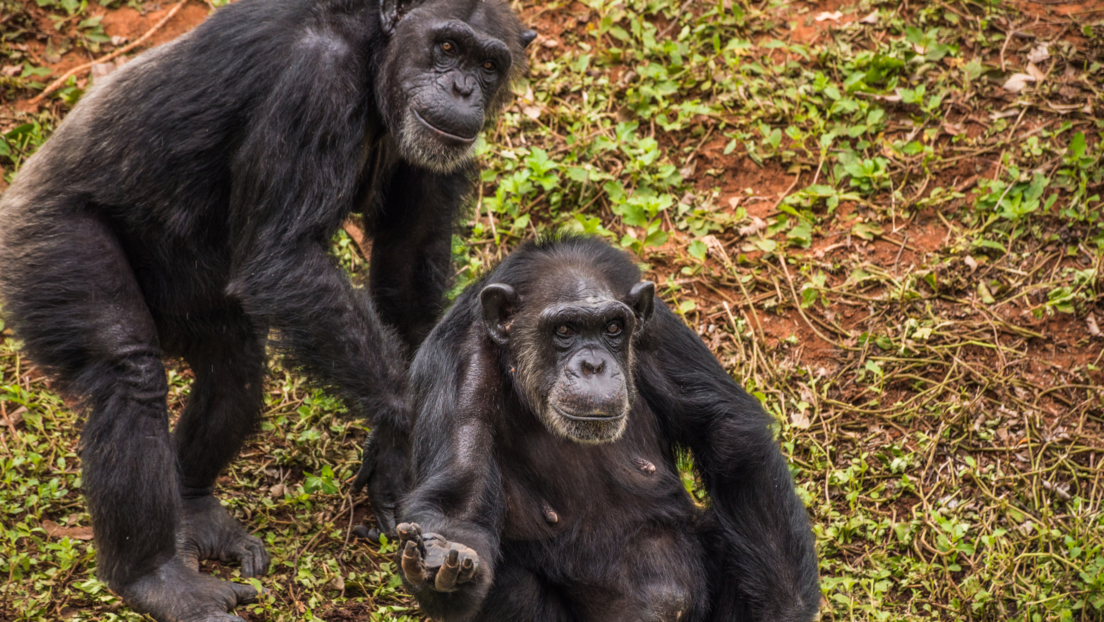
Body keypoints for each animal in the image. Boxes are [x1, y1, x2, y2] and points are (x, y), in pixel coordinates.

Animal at [0, 0, 534, 618]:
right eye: (447, 47)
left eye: (489, 65)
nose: (464, 88)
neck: (372, 51)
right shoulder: (314, 81)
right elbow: (285, 253)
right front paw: (412, 432)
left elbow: (408, 260)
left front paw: (405, 459)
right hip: (46, 243)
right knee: (128, 375)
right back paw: (154, 577)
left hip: (187, 285)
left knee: (233, 364)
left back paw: (196, 508)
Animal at [390, 236, 821, 618]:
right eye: (565, 330)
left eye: (613, 327)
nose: (594, 364)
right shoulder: (460, 366)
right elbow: (462, 495)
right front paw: (441, 556)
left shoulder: (658, 329)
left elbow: (726, 431)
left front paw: (785, 609)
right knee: (509, 580)